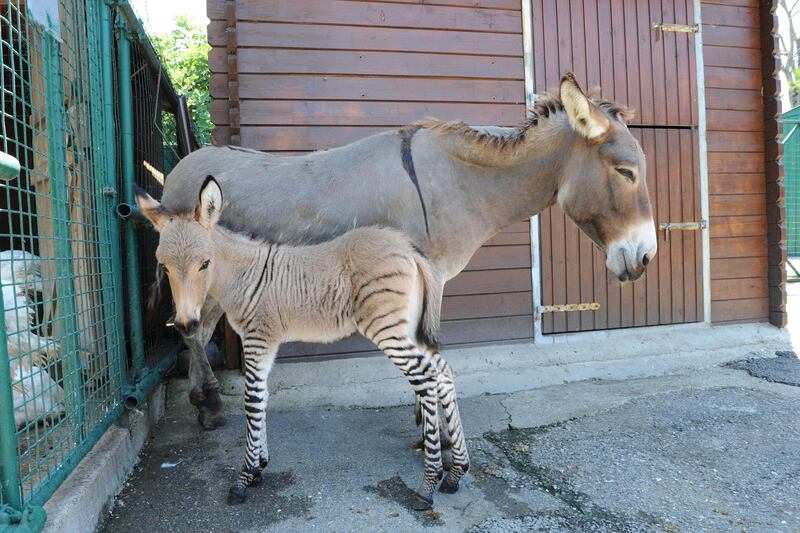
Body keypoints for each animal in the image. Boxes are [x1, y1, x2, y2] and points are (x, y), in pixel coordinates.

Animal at [137, 177, 468, 510]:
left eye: (204, 264)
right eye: (163, 267)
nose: (185, 325)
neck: (242, 276)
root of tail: (408, 248)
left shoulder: (258, 339)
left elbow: (252, 401)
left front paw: (244, 479)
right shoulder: (261, 343)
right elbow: (262, 398)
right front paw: (259, 466)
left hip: (387, 328)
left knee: (425, 378)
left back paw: (428, 484)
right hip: (406, 328)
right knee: (443, 372)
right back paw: (456, 473)